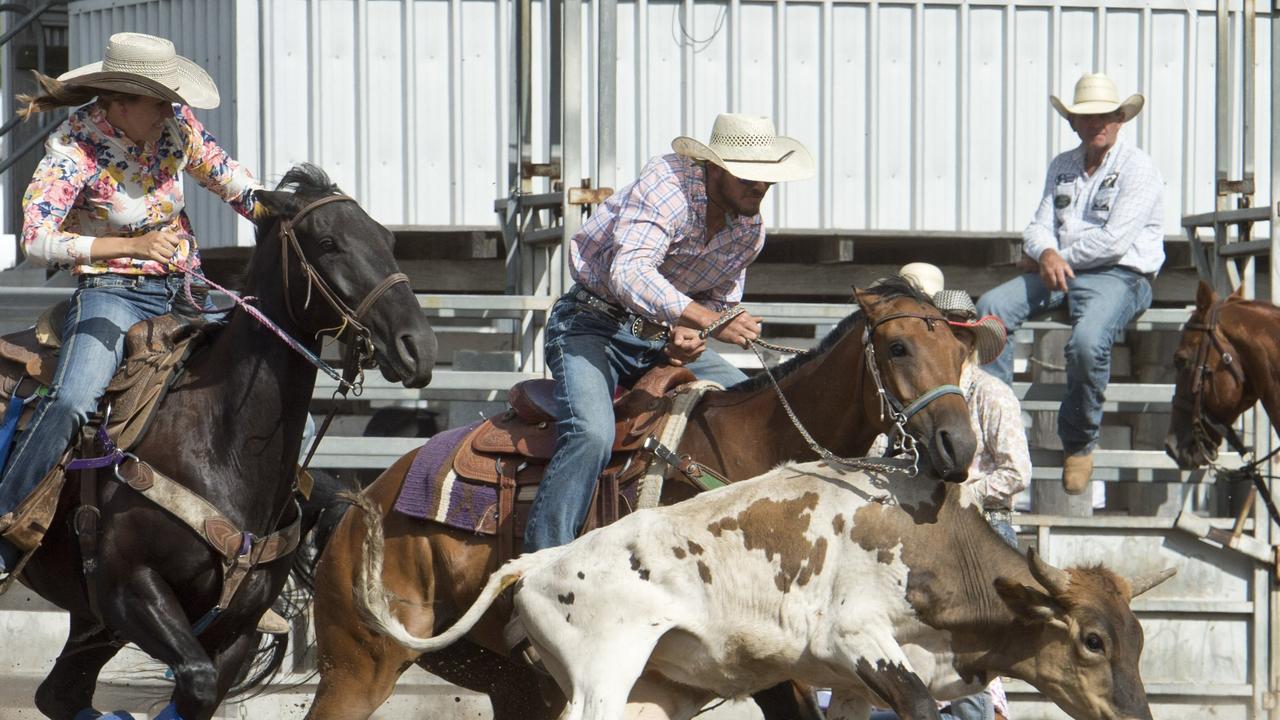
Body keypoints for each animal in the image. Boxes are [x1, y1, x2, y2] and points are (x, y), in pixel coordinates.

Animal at [10, 165, 440, 717]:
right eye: (328, 242)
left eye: (387, 239)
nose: (418, 346)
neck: (220, 443)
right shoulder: (129, 589)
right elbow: (194, 682)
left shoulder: (235, 626)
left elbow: (202, 690)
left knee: (60, 694)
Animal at [302, 275, 977, 717]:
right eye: (898, 347)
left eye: (961, 351)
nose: (960, 446)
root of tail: (363, 505)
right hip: (357, 667)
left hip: (505, 679)